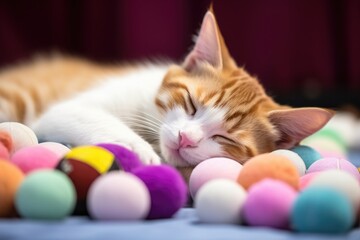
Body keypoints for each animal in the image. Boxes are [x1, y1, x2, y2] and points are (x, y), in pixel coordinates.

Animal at [0, 9, 334, 169]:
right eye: (191, 103)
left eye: (226, 138)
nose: (186, 139)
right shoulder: (69, 107)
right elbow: (77, 113)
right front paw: (137, 149)